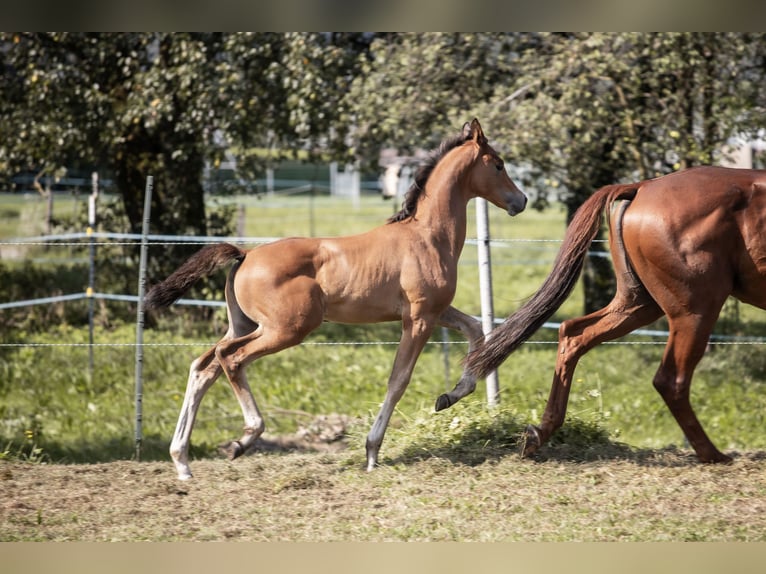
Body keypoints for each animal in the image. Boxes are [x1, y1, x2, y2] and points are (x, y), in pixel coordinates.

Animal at [144, 119, 528, 480]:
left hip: (245, 324)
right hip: (287, 329)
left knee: (203, 366)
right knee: (230, 358)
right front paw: (372, 452)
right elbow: (399, 379)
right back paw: (244, 438)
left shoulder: (438, 311)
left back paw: (182, 461)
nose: (521, 201)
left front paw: (449, 396)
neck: (426, 236)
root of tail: (245, 254)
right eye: (498, 164)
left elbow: (476, 330)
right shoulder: (418, 318)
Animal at [464, 166, 766, 464]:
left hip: (638, 304)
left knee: (574, 333)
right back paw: (713, 455)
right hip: (695, 310)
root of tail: (643, 187)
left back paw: (539, 434)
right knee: (671, 381)